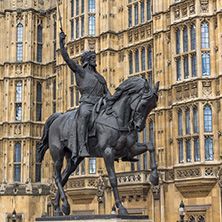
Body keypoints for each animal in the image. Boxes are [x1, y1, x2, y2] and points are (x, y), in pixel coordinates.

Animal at [37, 76, 160, 217]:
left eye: (154, 105)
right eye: (144, 104)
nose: (139, 126)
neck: (117, 119)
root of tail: (58, 117)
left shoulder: (129, 149)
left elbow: (150, 145)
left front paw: (154, 177)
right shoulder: (108, 151)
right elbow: (113, 178)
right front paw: (121, 207)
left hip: (74, 158)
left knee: (63, 178)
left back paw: (58, 208)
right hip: (57, 153)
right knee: (57, 176)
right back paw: (65, 206)